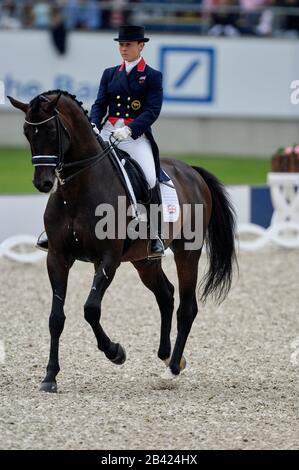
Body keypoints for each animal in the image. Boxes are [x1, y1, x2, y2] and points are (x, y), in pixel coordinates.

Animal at [8, 90, 237, 392]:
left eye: (50, 130)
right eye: (26, 132)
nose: (42, 183)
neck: (77, 190)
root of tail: (192, 172)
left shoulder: (108, 259)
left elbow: (91, 309)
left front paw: (115, 352)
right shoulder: (57, 257)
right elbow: (56, 318)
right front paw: (50, 377)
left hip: (188, 252)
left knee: (187, 307)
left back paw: (173, 369)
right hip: (144, 260)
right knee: (166, 294)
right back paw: (166, 356)